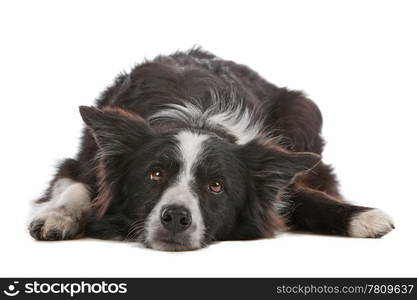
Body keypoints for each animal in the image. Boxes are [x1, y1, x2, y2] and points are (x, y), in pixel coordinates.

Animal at [29, 48, 394, 251]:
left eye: (216, 186)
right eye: (155, 174)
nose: (176, 218)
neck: (196, 117)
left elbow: (310, 199)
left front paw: (364, 217)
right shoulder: (84, 161)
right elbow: (74, 188)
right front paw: (56, 216)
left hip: (304, 109)